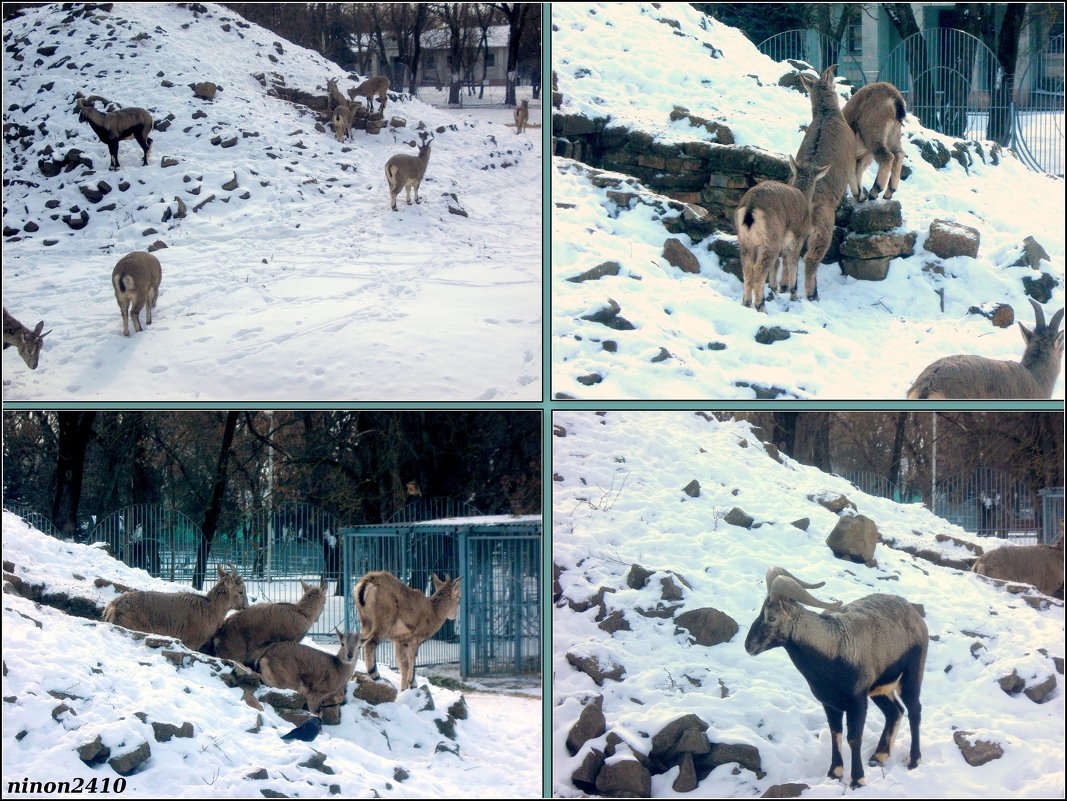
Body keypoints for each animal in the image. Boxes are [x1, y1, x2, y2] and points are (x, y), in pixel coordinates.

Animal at [734, 155, 832, 309]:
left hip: (745, 241)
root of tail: (750, 208)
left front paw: (775, 289)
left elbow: (778, 263)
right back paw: (761, 306)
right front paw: (794, 295)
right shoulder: (798, 237)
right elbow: (793, 262)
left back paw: (746, 302)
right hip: (770, 241)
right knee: (759, 269)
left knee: (747, 268)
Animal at [746, 567, 930, 793]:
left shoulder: (857, 702)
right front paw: (835, 772)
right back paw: (879, 756)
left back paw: (914, 760)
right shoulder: (830, 703)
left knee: (914, 711)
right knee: (895, 711)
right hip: (880, 689)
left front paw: (857, 780)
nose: (748, 645)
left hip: (911, 676)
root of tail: (916, 617)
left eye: (771, 617)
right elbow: (836, 733)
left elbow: (854, 738)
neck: (833, 649)